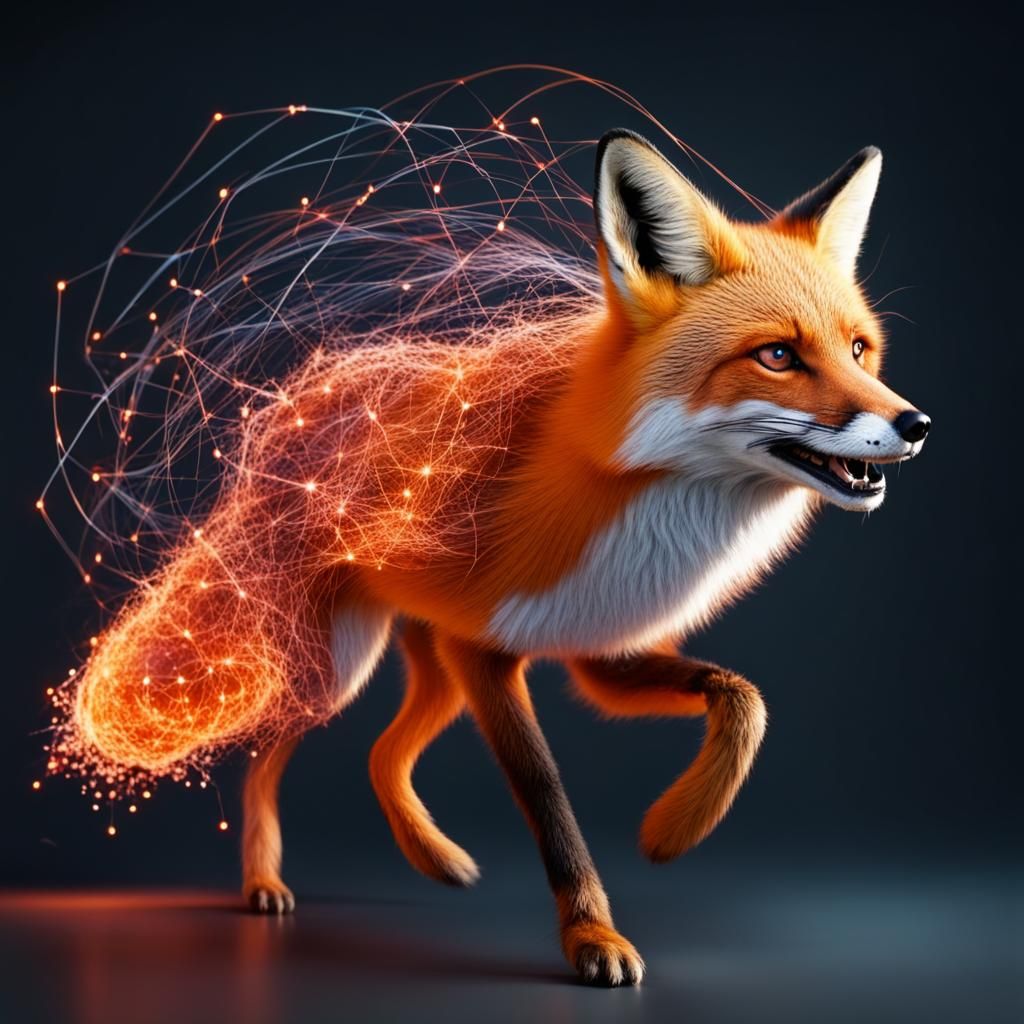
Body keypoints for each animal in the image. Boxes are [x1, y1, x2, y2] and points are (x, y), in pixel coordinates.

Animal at [73, 129, 930, 987]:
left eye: (860, 350)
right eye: (778, 356)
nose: (915, 423)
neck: (637, 510)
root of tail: (305, 394)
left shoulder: (602, 650)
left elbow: (742, 701)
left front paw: (670, 830)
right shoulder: (485, 653)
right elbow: (550, 803)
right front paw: (593, 936)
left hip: (424, 669)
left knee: (381, 754)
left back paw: (435, 857)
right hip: (336, 670)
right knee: (266, 753)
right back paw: (262, 882)